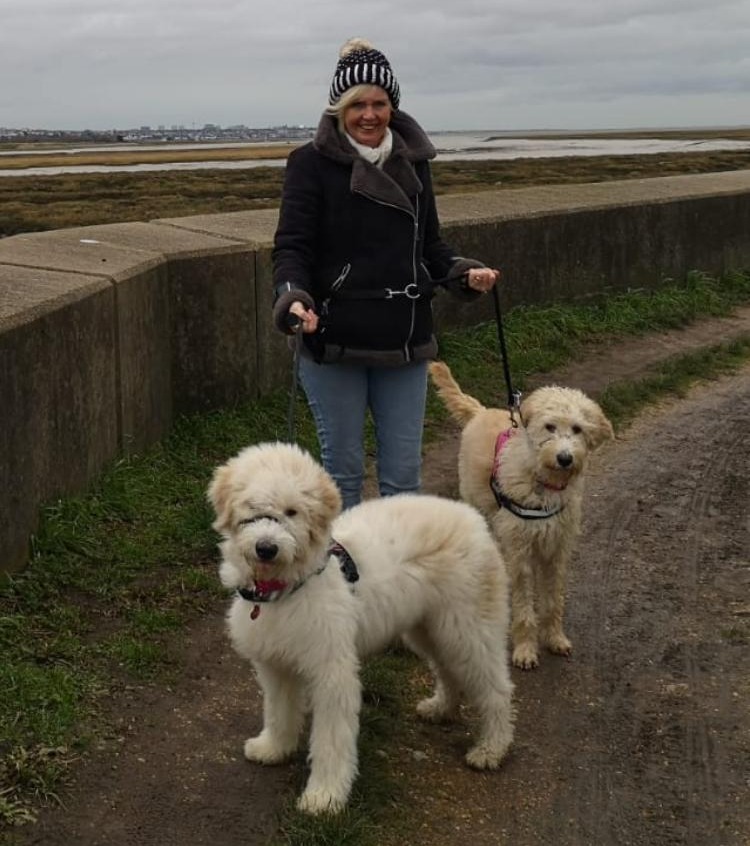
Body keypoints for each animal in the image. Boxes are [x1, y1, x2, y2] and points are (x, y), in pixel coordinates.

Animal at [210, 440, 516, 820]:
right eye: (252, 508)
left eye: (292, 512)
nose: (266, 548)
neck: (287, 587)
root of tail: (473, 518)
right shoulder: (276, 665)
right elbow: (279, 711)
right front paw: (273, 747)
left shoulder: (332, 673)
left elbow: (331, 739)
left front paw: (324, 797)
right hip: (430, 628)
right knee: (448, 670)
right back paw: (441, 708)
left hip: (469, 629)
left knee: (496, 688)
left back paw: (491, 749)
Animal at [432, 362, 612, 672]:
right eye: (550, 426)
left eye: (577, 429)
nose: (565, 458)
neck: (542, 482)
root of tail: (481, 411)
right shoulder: (521, 553)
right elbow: (524, 606)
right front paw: (525, 650)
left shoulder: (555, 550)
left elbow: (552, 601)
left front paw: (554, 638)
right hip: (479, 507)